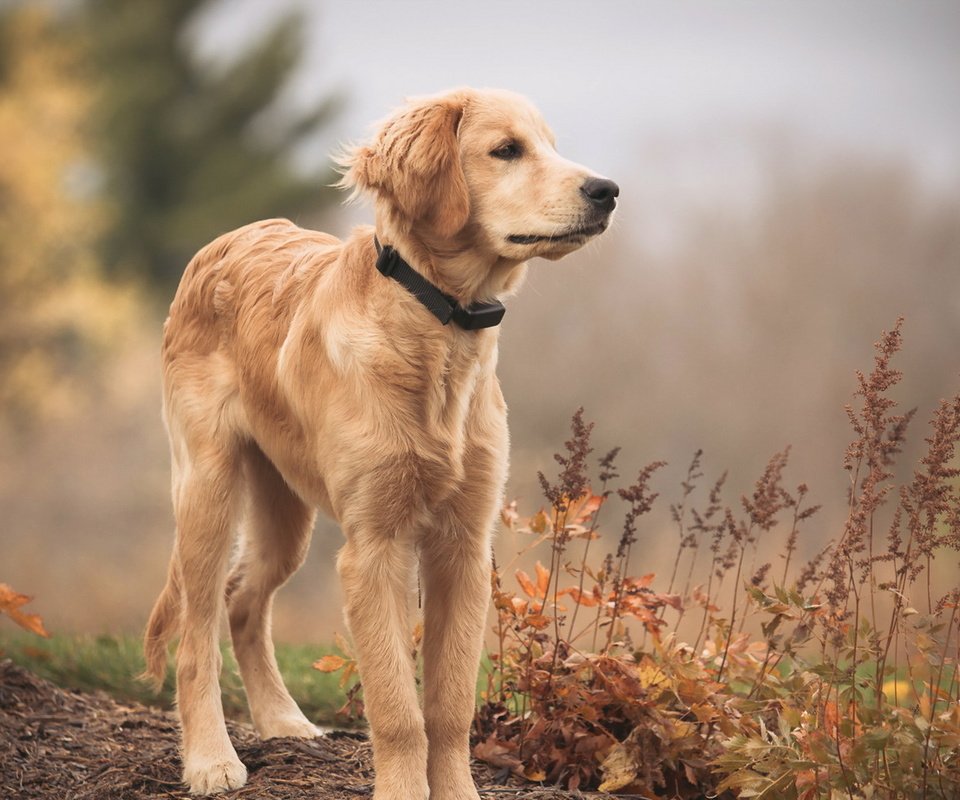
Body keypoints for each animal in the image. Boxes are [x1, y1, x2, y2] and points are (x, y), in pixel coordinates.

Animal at [145, 87, 620, 800]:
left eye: (551, 146)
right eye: (506, 150)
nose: (608, 191)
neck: (439, 327)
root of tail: (224, 240)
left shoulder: (463, 545)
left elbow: (449, 705)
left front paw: (456, 792)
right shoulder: (375, 546)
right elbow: (398, 707)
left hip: (285, 512)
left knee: (243, 600)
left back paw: (282, 720)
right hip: (207, 485)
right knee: (197, 632)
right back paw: (210, 759)